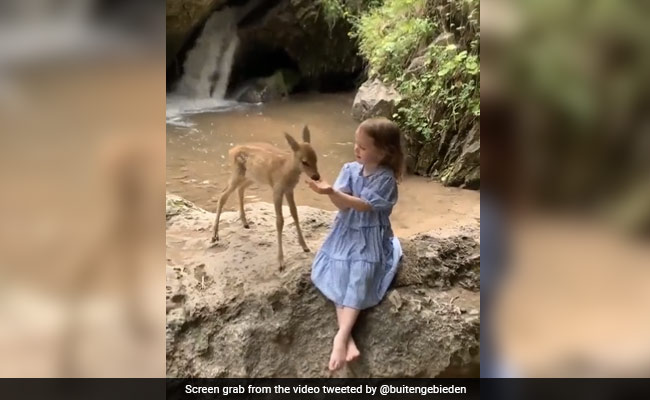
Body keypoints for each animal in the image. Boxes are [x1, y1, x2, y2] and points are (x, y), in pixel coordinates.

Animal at [210, 126, 320, 270]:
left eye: (316, 158)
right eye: (304, 161)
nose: (316, 177)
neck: (286, 169)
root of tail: (231, 150)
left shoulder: (289, 190)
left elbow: (295, 214)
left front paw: (305, 246)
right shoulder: (277, 189)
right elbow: (279, 221)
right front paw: (280, 262)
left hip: (252, 177)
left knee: (240, 189)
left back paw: (245, 222)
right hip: (238, 173)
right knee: (223, 195)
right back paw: (214, 236)